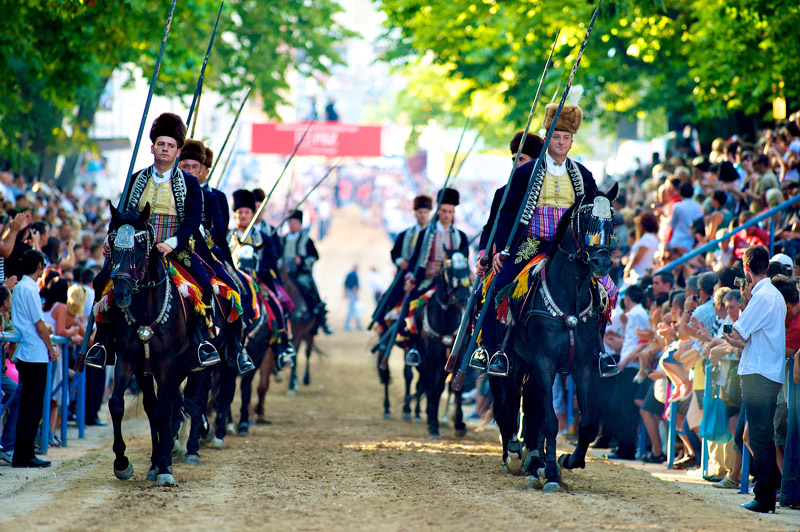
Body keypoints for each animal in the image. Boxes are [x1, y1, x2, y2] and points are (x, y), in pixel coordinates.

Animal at [103, 204, 194, 486]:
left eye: (141, 246)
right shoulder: (129, 360)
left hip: (182, 365)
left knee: (173, 402)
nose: (121, 293)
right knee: (154, 407)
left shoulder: (167, 362)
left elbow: (164, 410)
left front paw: (165, 467)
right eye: (112, 243)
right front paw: (123, 463)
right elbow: (117, 405)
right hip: (147, 370)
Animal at [490, 185, 616, 492]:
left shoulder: (582, 367)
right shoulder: (543, 362)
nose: (602, 262)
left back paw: (531, 460)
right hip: (511, 361)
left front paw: (568, 460)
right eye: (586, 221)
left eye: (612, 222)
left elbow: (586, 423)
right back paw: (514, 456)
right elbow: (548, 420)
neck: (569, 295)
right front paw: (550, 474)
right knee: (508, 402)